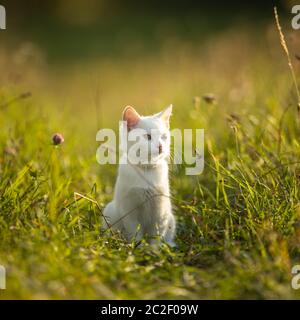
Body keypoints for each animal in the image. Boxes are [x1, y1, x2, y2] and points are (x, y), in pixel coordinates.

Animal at [102, 105, 176, 245]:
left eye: (164, 137)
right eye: (148, 136)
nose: (160, 146)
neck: (146, 169)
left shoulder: (160, 210)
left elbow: (156, 234)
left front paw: (154, 249)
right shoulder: (129, 210)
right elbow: (134, 232)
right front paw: (137, 247)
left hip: (171, 218)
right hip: (111, 211)